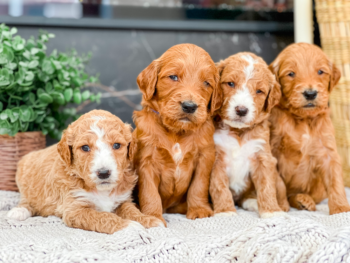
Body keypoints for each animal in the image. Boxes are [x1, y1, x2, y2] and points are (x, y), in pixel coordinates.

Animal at [6, 110, 163, 234]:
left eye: (117, 145)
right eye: (85, 148)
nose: (104, 173)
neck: (102, 190)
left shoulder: (122, 200)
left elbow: (133, 211)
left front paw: (149, 220)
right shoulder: (75, 209)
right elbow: (102, 217)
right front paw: (129, 226)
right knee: (26, 201)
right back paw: (18, 212)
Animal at [133, 43, 223, 225]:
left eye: (207, 83)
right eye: (173, 77)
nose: (189, 106)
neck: (177, 131)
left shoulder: (204, 157)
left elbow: (199, 186)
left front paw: (199, 210)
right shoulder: (146, 161)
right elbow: (149, 193)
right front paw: (153, 216)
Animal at [209, 52, 288, 219]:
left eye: (259, 91)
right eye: (230, 83)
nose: (241, 110)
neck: (238, 131)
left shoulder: (262, 156)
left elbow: (267, 186)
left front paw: (272, 212)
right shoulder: (216, 159)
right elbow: (219, 187)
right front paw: (225, 211)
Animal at [268, 43, 350, 216]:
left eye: (320, 72)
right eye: (291, 74)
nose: (310, 94)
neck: (303, 119)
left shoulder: (328, 151)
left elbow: (336, 182)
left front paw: (341, 209)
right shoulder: (273, 151)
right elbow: (278, 183)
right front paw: (280, 207)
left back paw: (303, 200)